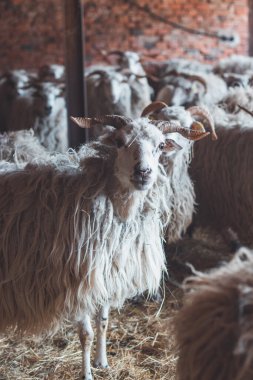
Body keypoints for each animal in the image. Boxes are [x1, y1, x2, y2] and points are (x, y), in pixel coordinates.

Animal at [0, 114, 208, 378]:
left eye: (161, 146)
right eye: (119, 142)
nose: (144, 172)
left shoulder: (108, 275)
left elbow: (104, 322)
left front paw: (102, 362)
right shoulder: (79, 282)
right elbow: (86, 334)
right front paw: (87, 373)